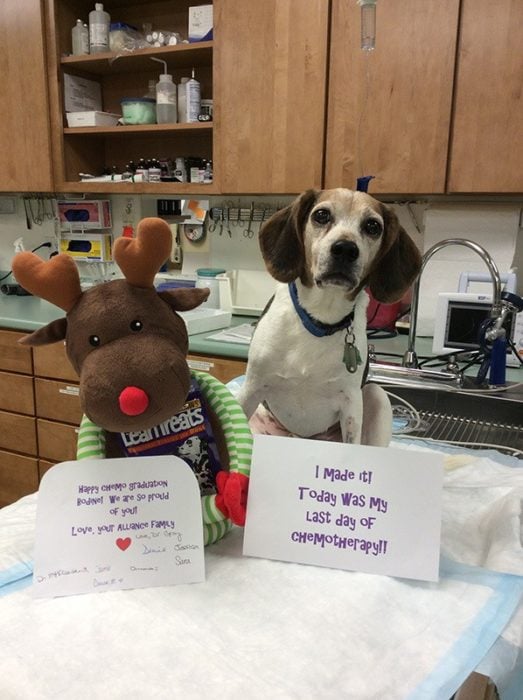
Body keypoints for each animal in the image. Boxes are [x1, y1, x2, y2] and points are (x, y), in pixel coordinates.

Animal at [239, 189, 424, 446]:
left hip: (375, 396)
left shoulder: (351, 404)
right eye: (321, 215)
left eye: (373, 226)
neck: (320, 319)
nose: (345, 249)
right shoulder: (251, 388)